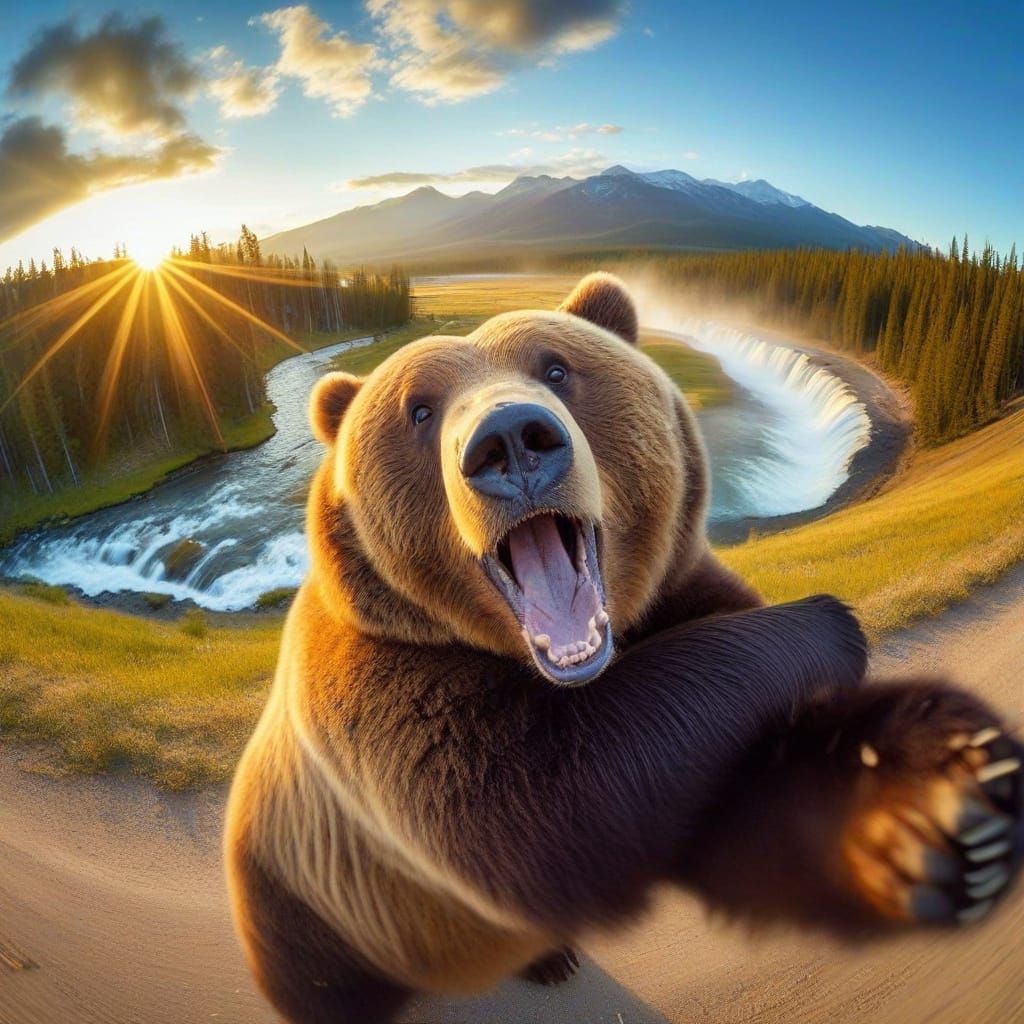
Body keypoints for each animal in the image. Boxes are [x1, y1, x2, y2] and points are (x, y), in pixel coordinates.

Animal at [224, 273, 1023, 1024]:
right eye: (418, 410)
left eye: (556, 368)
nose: (510, 440)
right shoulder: (391, 700)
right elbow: (547, 812)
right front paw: (829, 622)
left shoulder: (679, 593)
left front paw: (935, 815)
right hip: (308, 907)